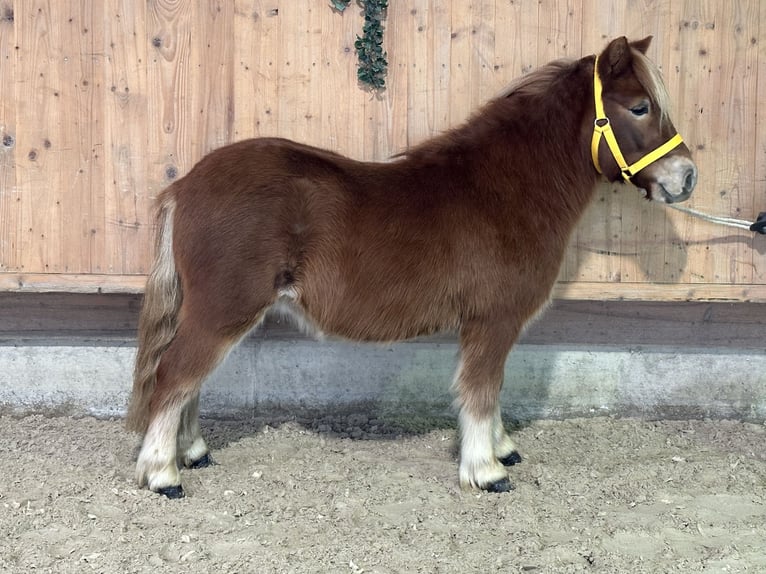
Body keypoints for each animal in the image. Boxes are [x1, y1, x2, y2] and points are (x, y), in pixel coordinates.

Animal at [129, 38, 700, 500]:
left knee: (188, 380)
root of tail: (185, 185)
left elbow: (490, 391)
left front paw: (502, 449)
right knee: (175, 375)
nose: (687, 177)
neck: (504, 189)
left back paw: (192, 452)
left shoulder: (487, 325)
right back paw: (162, 474)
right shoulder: (492, 321)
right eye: (640, 106)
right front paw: (487, 470)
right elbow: (480, 390)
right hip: (223, 310)